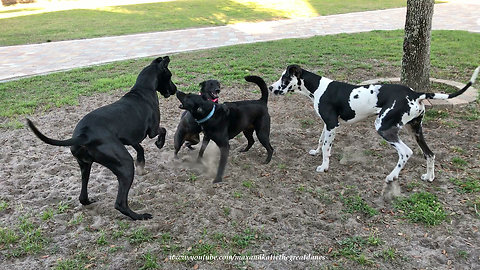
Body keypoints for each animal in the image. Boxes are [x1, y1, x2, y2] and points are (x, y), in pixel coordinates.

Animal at [26, 56, 176, 219]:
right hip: (125, 164)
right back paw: (139, 216)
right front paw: (159, 143)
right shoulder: (152, 130)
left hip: (85, 166)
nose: (175, 90)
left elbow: (140, 148)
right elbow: (163, 130)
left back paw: (90, 201)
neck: (143, 89)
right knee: (120, 203)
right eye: (169, 75)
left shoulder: (128, 139)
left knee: (82, 197)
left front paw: (141, 164)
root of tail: (83, 135)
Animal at [268, 65, 478, 182]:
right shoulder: (327, 124)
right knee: (430, 154)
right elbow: (321, 141)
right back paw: (429, 177)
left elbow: (327, 148)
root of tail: (415, 93)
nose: (270, 87)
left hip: (384, 128)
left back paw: (392, 177)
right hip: (416, 130)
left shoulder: (332, 125)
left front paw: (324, 166)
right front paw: (316, 152)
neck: (318, 87)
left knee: (406, 153)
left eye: (284, 78)